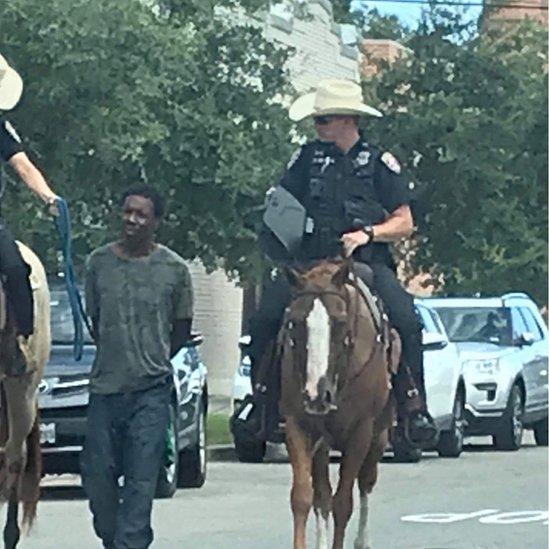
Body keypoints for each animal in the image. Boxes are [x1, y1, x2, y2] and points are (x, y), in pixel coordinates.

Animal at [278, 258, 398, 548]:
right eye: (295, 322)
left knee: (366, 482)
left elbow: (343, 503)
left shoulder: (360, 431)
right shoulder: (297, 425)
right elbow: (303, 497)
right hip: (323, 443)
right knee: (322, 496)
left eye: (340, 321)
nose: (316, 395)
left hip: (378, 436)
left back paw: (362, 541)